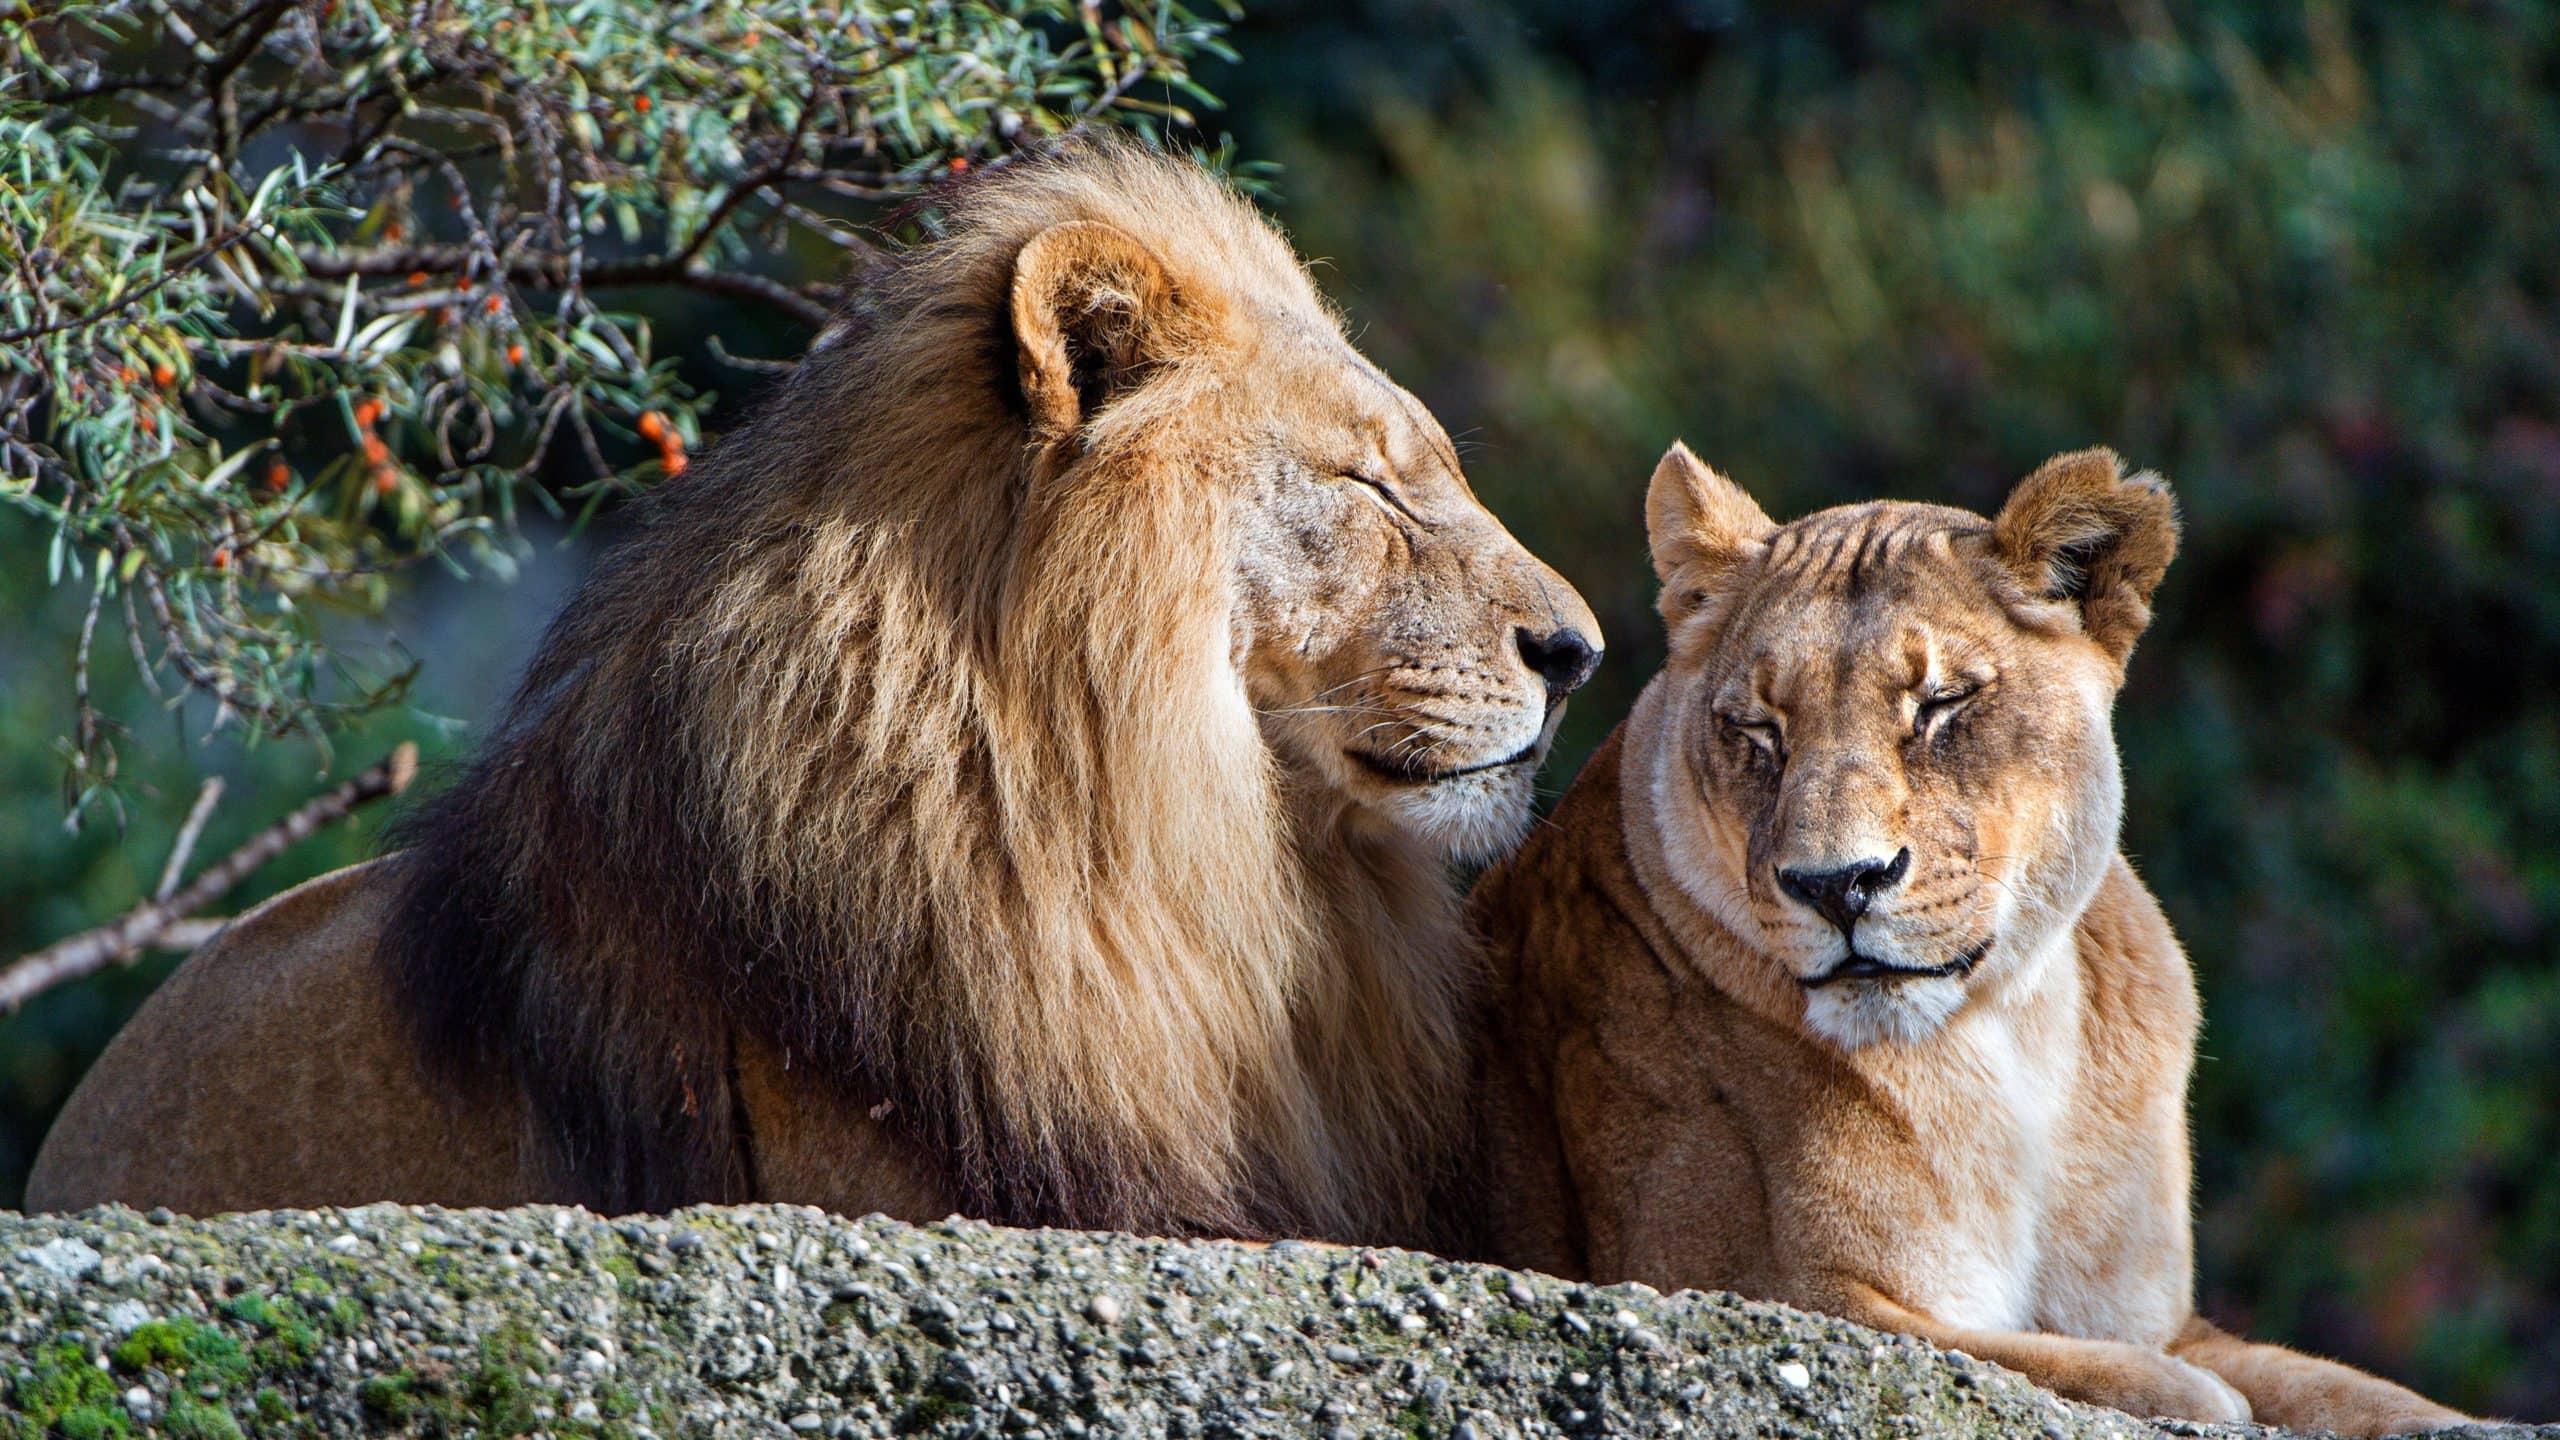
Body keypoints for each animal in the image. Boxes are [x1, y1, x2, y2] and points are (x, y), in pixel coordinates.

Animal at [1474, 443, 2467, 1424]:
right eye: (1759, 728)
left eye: (1940, 704)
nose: (1837, 885)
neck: (2006, 1038)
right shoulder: (1753, 1285)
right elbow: (2070, 1365)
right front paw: (2193, 1398)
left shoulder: (2165, 1317)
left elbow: (2350, 1389)